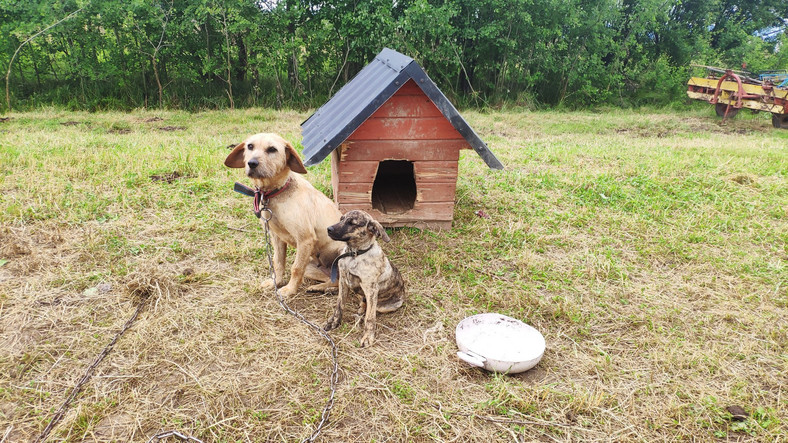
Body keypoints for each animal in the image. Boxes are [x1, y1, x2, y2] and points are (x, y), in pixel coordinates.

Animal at [223, 134, 344, 296]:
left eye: (272, 149)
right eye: (250, 146)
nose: (252, 163)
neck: (275, 193)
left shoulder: (305, 239)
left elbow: (296, 268)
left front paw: (289, 289)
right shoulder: (276, 236)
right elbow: (278, 262)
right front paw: (276, 282)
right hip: (311, 267)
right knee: (335, 280)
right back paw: (320, 287)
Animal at [324, 210, 406, 348]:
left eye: (352, 223)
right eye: (341, 219)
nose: (328, 229)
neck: (354, 254)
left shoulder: (371, 289)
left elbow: (370, 318)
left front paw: (368, 337)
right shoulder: (343, 282)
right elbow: (339, 305)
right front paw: (334, 322)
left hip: (384, 305)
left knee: (369, 308)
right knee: (361, 301)